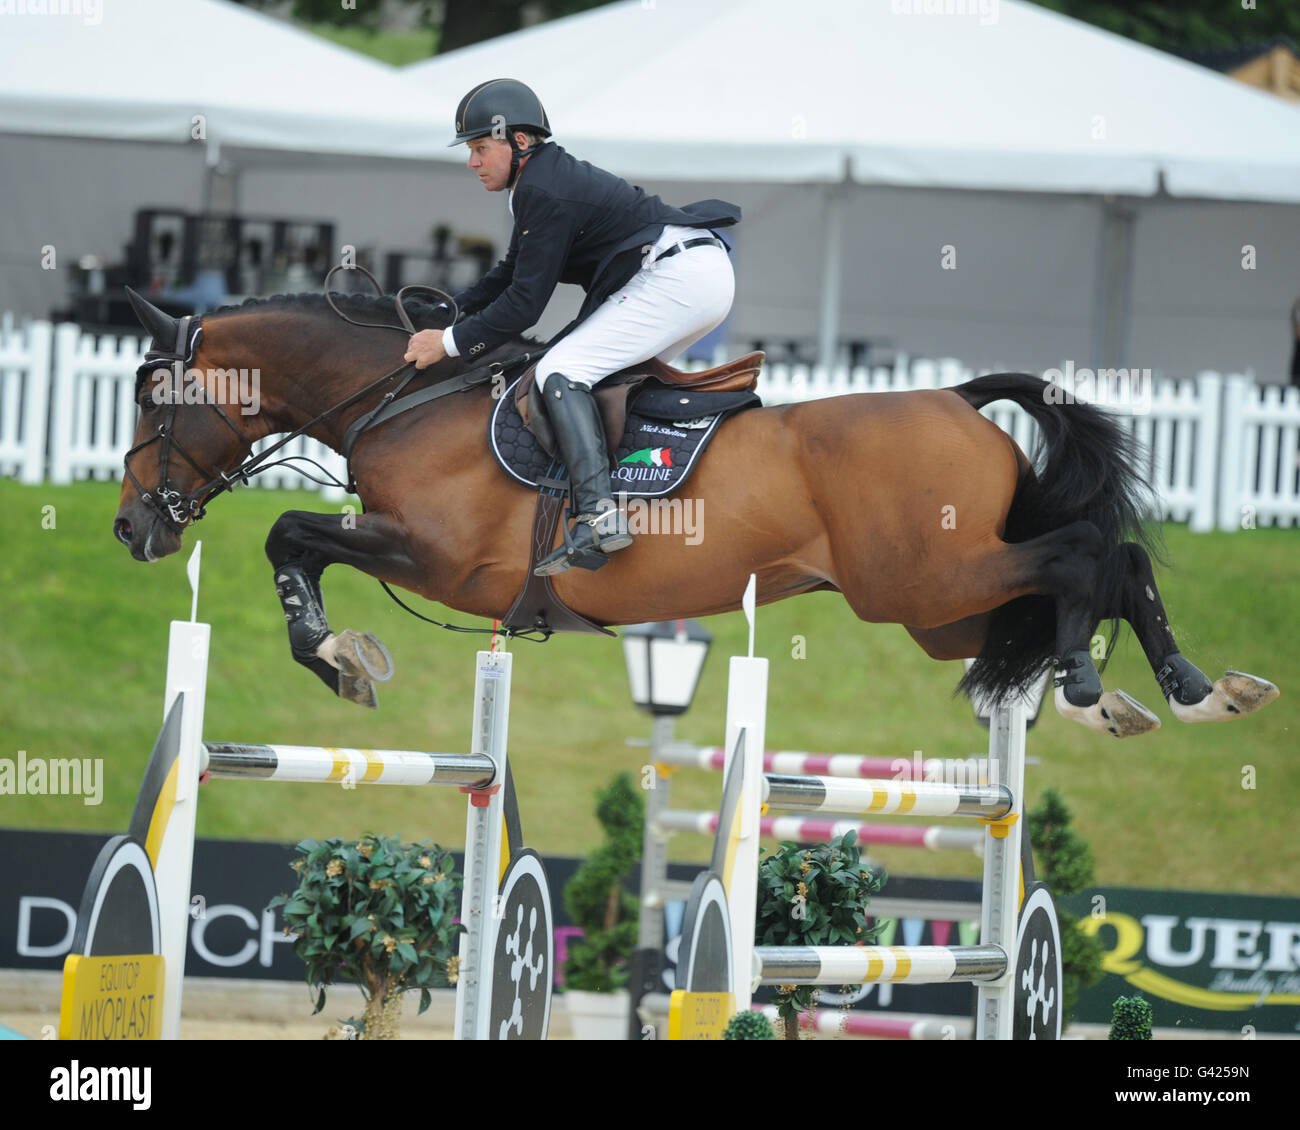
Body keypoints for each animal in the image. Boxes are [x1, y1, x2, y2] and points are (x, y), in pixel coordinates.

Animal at [114, 286, 1279, 738]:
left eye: (148, 398)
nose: (132, 530)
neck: (403, 399)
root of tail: (957, 397)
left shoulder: (434, 558)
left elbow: (290, 537)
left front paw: (336, 654)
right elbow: (299, 541)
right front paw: (341, 652)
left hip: (925, 580)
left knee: (1086, 555)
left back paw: (1093, 685)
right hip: (939, 611)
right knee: (1107, 565)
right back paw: (1184, 688)